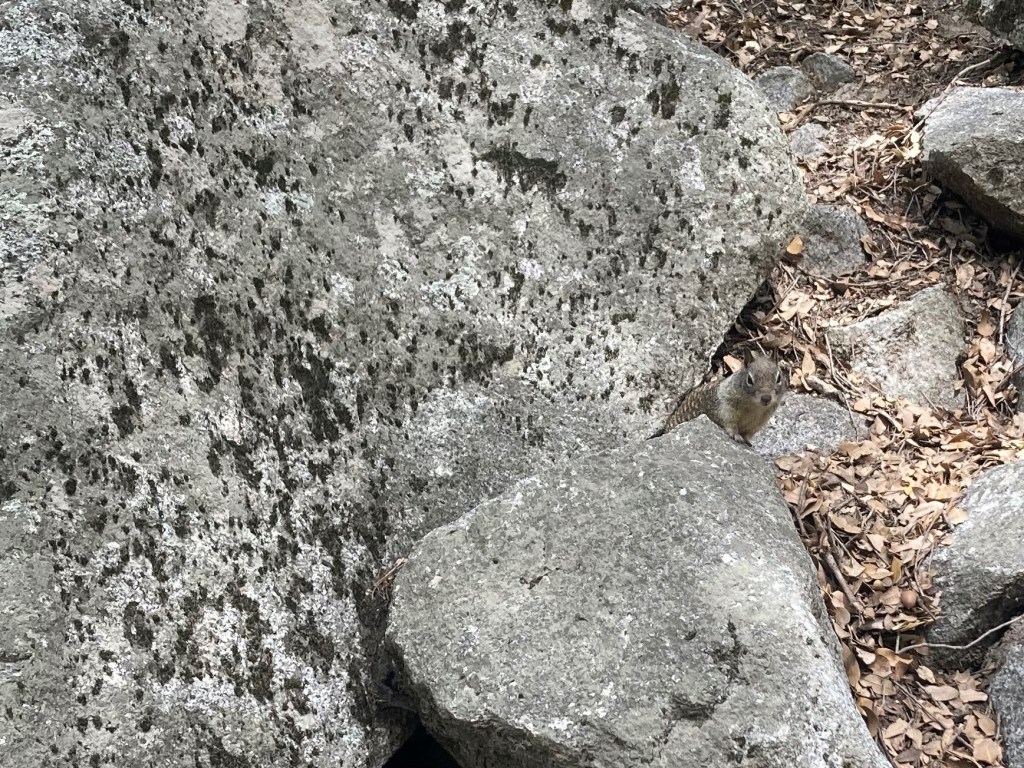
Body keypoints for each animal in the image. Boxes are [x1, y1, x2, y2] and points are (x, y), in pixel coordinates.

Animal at [653, 351, 786, 444]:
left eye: (779, 378)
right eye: (749, 379)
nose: (766, 398)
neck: (755, 407)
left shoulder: (759, 422)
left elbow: (748, 435)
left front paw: (748, 441)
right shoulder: (726, 408)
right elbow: (730, 424)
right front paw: (736, 435)